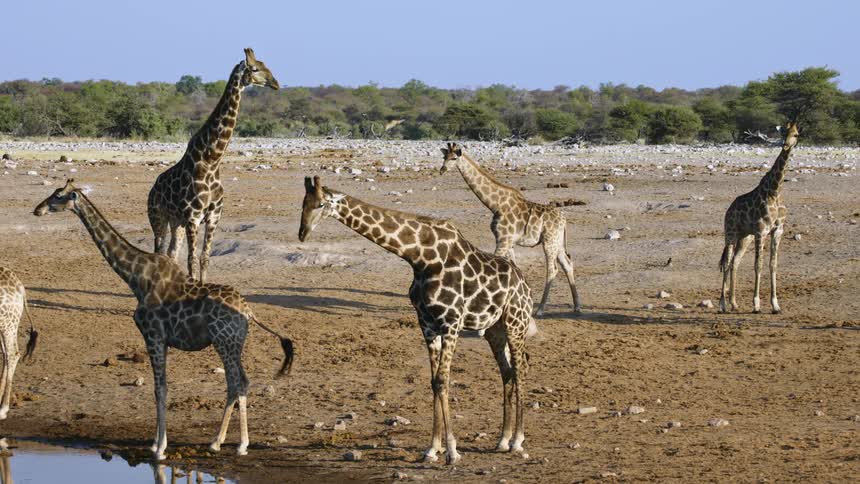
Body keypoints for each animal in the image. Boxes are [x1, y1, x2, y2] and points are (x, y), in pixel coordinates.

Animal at [34, 180, 293, 460]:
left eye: (58, 196)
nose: (38, 209)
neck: (135, 277)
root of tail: (248, 310)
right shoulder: (163, 340)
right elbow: (161, 387)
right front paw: (155, 443)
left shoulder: (153, 336)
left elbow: (160, 388)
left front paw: (160, 449)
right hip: (231, 343)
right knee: (234, 383)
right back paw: (219, 441)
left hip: (225, 342)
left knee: (239, 382)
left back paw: (238, 444)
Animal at [147, 48, 280, 282]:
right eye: (255, 68)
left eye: (266, 65)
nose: (276, 83)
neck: (211, 161)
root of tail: (153, 188)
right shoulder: (193, 217)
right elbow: (191, 259)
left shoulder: (213, 216)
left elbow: (204, 258)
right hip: (158, 217)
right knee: (159, 251)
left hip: (176, 221)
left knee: (171, 252)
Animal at [299, 176, 536, 464]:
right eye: (303, 203)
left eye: (321, 204)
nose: (302, 233)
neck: (420, 256)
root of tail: (526, 285)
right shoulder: (427, 324)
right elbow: (434, 382)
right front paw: (433, 448)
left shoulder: (452, 322)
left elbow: (443, 380)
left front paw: (452, 451)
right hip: (494, 330)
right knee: (507, 371)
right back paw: (502, 439)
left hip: (516, 323)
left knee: (521, 368)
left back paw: (517, 440)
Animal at [440, 143, 581, 316]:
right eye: (444, 157)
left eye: (454, 158)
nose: (442, 170)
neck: (495, 204)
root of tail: (564, 220)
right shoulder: (509, 242)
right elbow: (514, 267)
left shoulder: (503, 239)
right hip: (558, 242)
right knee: (568, 264)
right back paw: (576, 306)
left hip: (549, 242)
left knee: (552, 270)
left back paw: (540, 309)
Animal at [720, 122, 800, 314]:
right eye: (785, 133)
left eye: (796, 134)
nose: (785, 145)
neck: (775, 191)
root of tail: (729, 210)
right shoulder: (761, 231)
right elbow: (759, 264)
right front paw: (756, 304)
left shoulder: (777, 231)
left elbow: (773, 264)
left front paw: (775, 305)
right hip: (731, 234)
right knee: (726, 262)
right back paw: (722, 305)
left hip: (745, 237)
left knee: (735, 263)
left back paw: (734, 303)